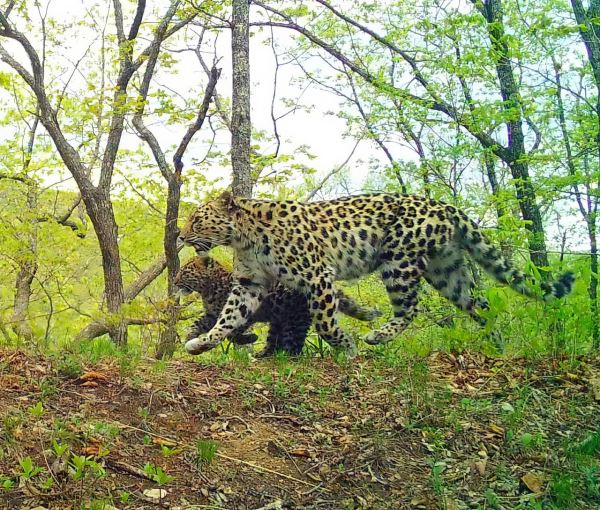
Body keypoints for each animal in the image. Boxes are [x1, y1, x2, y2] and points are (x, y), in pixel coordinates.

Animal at [175, 254, 380, 354]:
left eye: (184, 272)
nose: (175, 281)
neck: (208, 289)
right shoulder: (211, 314)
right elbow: (199, 324)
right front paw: (190, 336)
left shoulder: (244, 313)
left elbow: (233, 333)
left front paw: (249, 338)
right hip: (280, 318)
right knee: (274, 340)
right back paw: (263, 355)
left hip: (297, 317)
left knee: (293, 343)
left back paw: (285, 357)